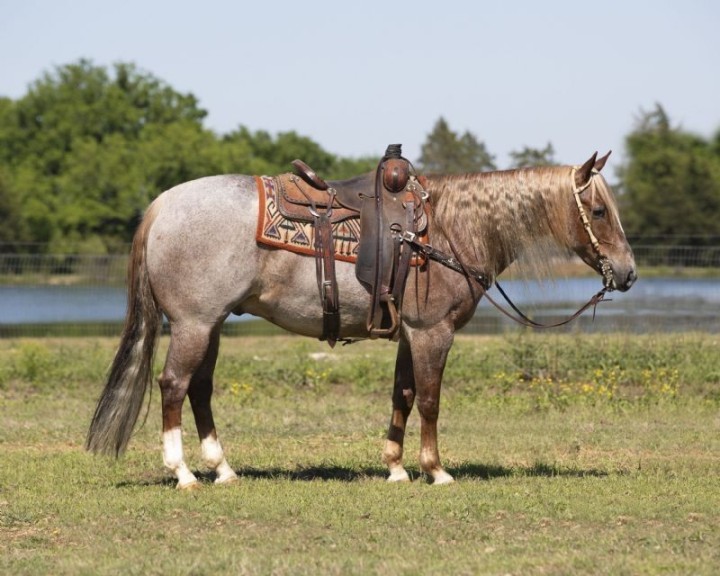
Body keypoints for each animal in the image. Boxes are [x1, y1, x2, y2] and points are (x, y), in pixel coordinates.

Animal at [86, 151, 637, 488]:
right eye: (599, 211)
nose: (629, 272)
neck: (447, 230)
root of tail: (162, 205)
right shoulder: (433, 332)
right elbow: (431, 400)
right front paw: (436, 470)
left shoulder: (409, 334)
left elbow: (403, 395)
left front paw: (395, 467)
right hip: (195, 324)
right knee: (174, 385)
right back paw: (182, 473)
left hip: (213, 324)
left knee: (199, 389)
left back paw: (222, 469)